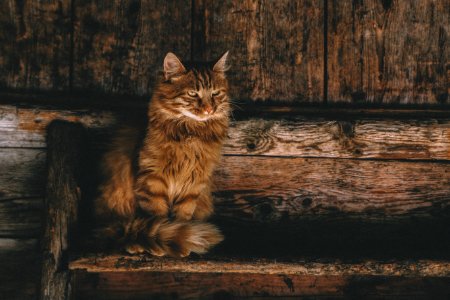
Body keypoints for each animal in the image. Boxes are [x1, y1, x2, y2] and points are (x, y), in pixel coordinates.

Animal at [93, 51, 230, 258]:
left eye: (215, 93)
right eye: (192, 94)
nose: (208, 109)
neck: (191, 133)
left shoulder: (194, 183)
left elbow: (182, 216)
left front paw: (181, 237)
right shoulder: (152, 180)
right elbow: (157, 217)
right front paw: (166, 238)